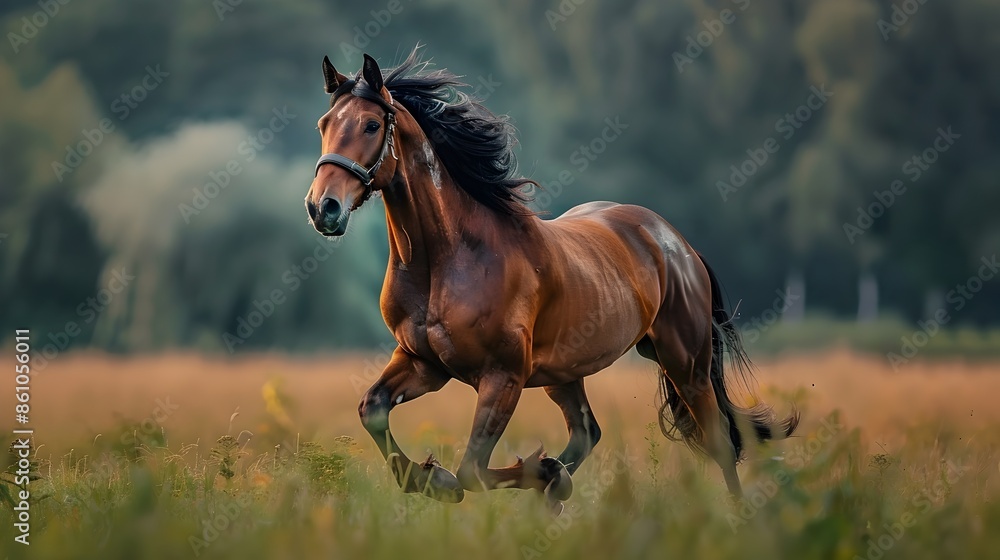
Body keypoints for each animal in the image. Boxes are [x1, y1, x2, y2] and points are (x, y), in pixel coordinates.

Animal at [304, 48, 799, 507]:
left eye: (371, 125)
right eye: (324, 123)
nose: (322, 207)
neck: (445, 262)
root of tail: (676, 243)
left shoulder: (503, 376)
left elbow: (470, 472)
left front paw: (471, 477)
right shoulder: (422, 362)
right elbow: (373, 410)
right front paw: (435, 479)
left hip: (685, 360)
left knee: (718, 440)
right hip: (566, 372)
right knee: (588, 432)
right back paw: (556, 485)